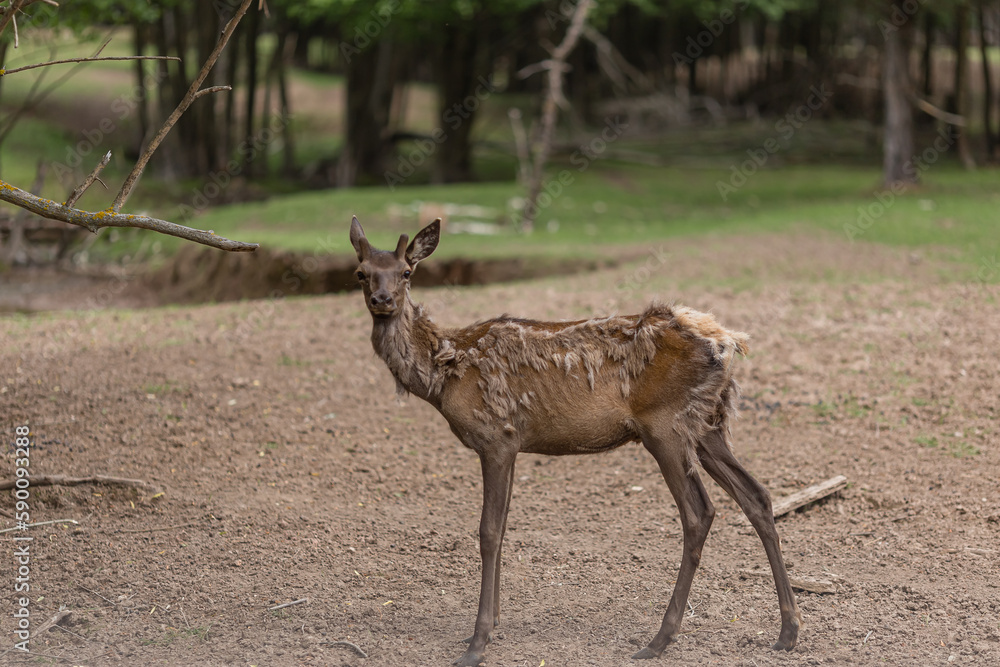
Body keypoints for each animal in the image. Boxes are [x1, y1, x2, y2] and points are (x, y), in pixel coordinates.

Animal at [349, 216, 801, 666]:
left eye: (407, 272)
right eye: (361, 273)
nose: (382, 299)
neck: (443, 376)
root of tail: (728, 343)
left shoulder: (495, 436)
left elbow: (488, 531)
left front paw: (477, 643)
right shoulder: (513, 445)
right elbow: (505, 525)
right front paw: (493, 625)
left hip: (666, 426)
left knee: (699, 512)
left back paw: (660, 638)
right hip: (708, 425)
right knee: (757, 495)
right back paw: (787, 632)